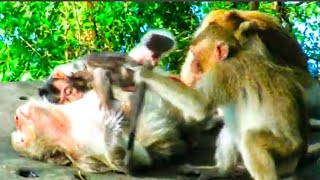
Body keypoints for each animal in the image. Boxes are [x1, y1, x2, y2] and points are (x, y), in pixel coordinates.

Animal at [134, 22, 312, 180]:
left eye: (196, 56)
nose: (192, 66)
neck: (234, 55)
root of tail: (300, 155)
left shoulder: (220, 73)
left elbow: (200, 106)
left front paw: (146, 74)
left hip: (285, 152)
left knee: (251, 138)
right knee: (232, 126)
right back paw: (220, 171)